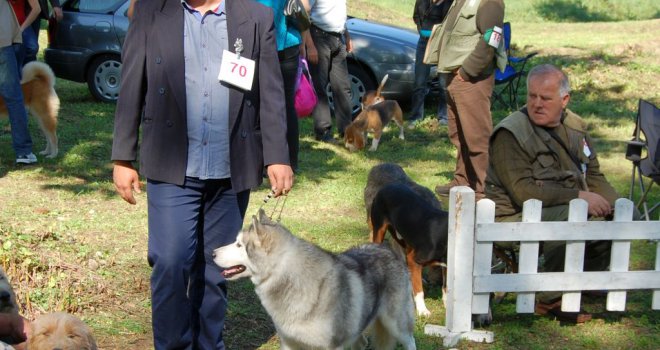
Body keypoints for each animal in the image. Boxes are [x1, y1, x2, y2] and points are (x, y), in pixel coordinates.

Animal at [372, 183, 448, 318]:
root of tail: (388, 186)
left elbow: (446, 287)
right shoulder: (414, 259)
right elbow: (419, 291)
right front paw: (422, 310)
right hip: (379, 230)